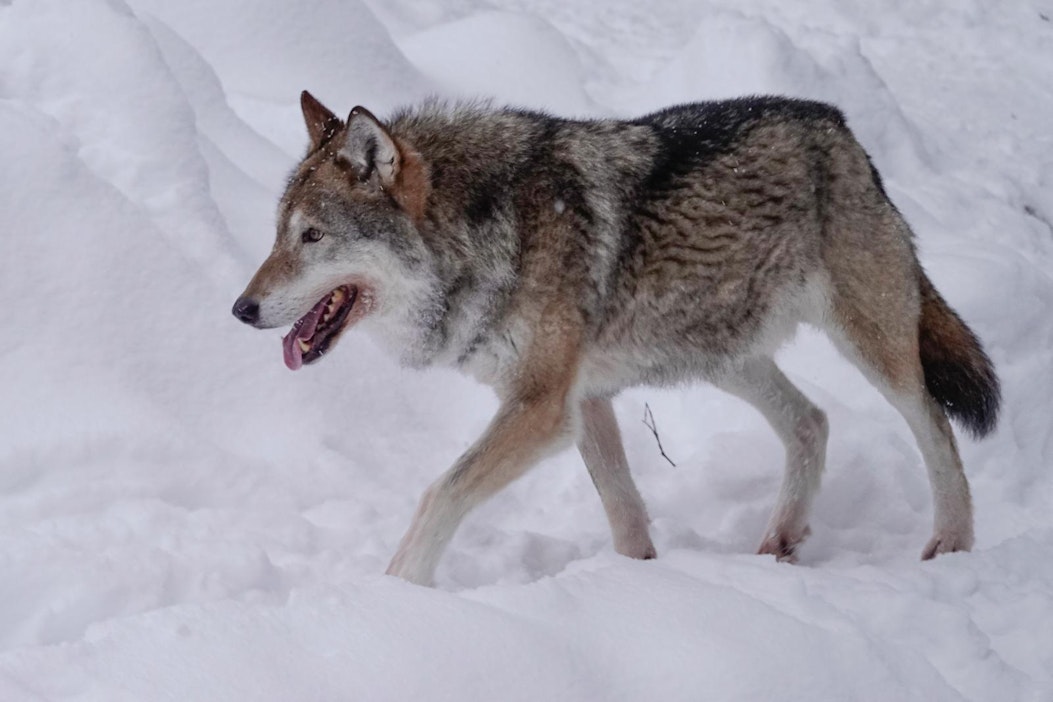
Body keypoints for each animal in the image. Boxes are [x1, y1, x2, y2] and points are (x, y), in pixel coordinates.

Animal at [234, 92, 998, 589]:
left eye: (312, 237)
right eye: (278, 235)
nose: (241, 309)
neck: (486, 233)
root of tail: (840, 129)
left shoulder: (541, 408)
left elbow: (438, 496)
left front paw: (396, 593)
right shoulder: (582, 404)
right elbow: (624, 512)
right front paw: (637, 585)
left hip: (870, 345)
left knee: (932, 421)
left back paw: (952, 544)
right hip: (720, 355)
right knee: (811, 421)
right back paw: (778, 544)